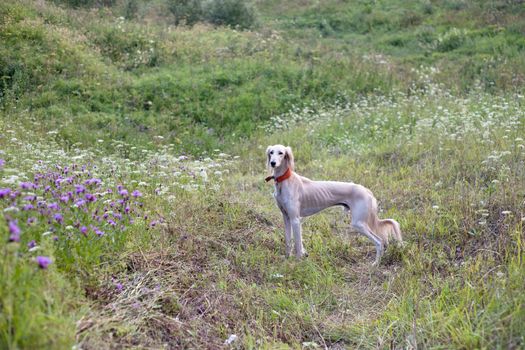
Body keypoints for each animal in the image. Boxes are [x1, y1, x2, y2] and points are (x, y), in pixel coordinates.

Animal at [266, 144, 402, 264]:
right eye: (271, 152)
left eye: (281, 153)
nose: (273, 163)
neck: (284, 181)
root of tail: (367, 190)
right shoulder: (286, 217)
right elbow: (288, 241)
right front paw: (287, 259)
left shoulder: (295, 219)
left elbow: (298, 245)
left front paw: (298, 263)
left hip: (358, 223)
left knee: (379, 242)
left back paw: (375, 264)